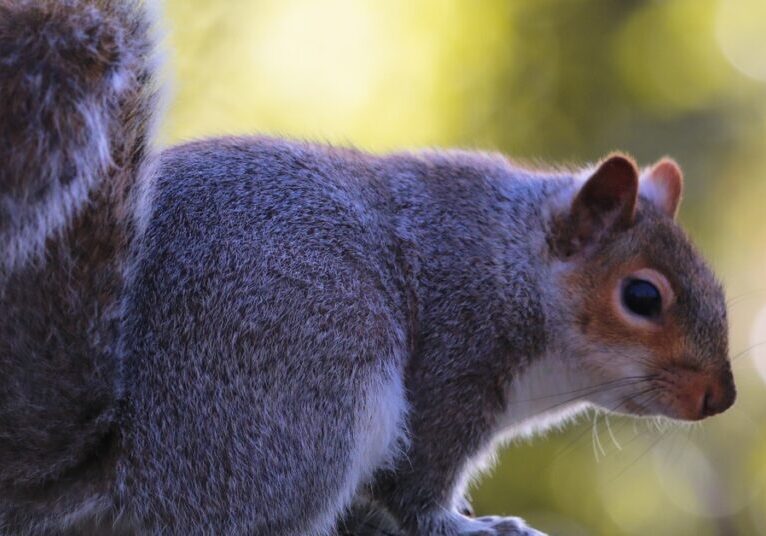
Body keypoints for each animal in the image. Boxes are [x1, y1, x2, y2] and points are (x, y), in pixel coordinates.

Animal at [0, 1, 736, 535]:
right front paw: (472, 526)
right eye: (643, 297)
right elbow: (418, 491)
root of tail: (126, 469)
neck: (514, 265)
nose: (721, 398)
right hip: (318, 394)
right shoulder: (453, 366)